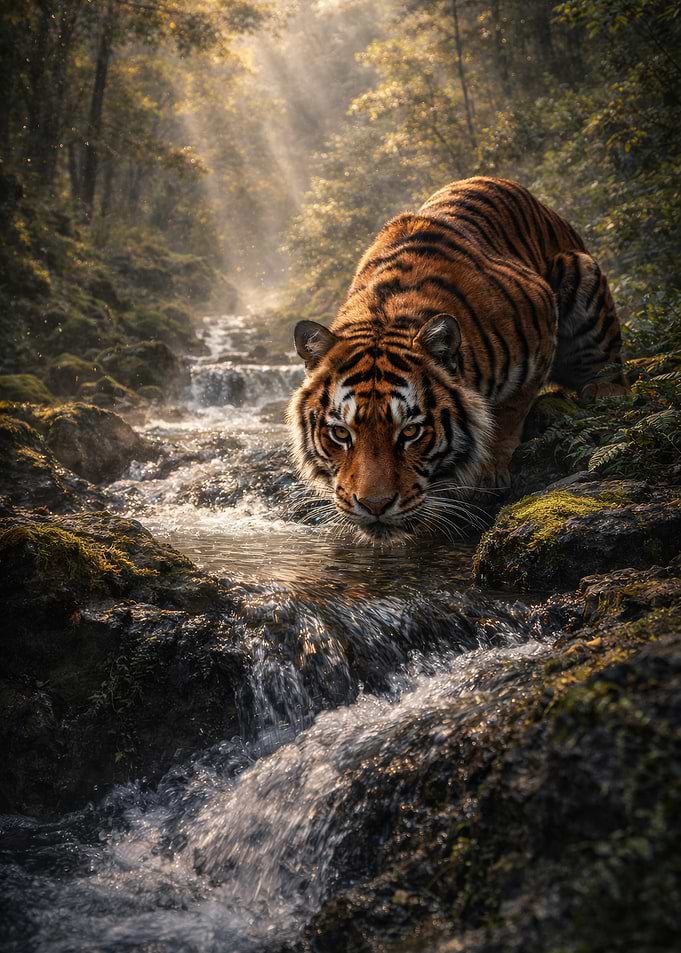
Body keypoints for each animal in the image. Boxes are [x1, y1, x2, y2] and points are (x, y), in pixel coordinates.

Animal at [287, 176, 627, 540]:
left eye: (411, 432)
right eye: (340, 434)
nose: (374, 505)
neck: (385, 314)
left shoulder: (540, 324)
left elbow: (507, 414)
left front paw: (488, 473)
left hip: (583, 280)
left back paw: (605, 391)